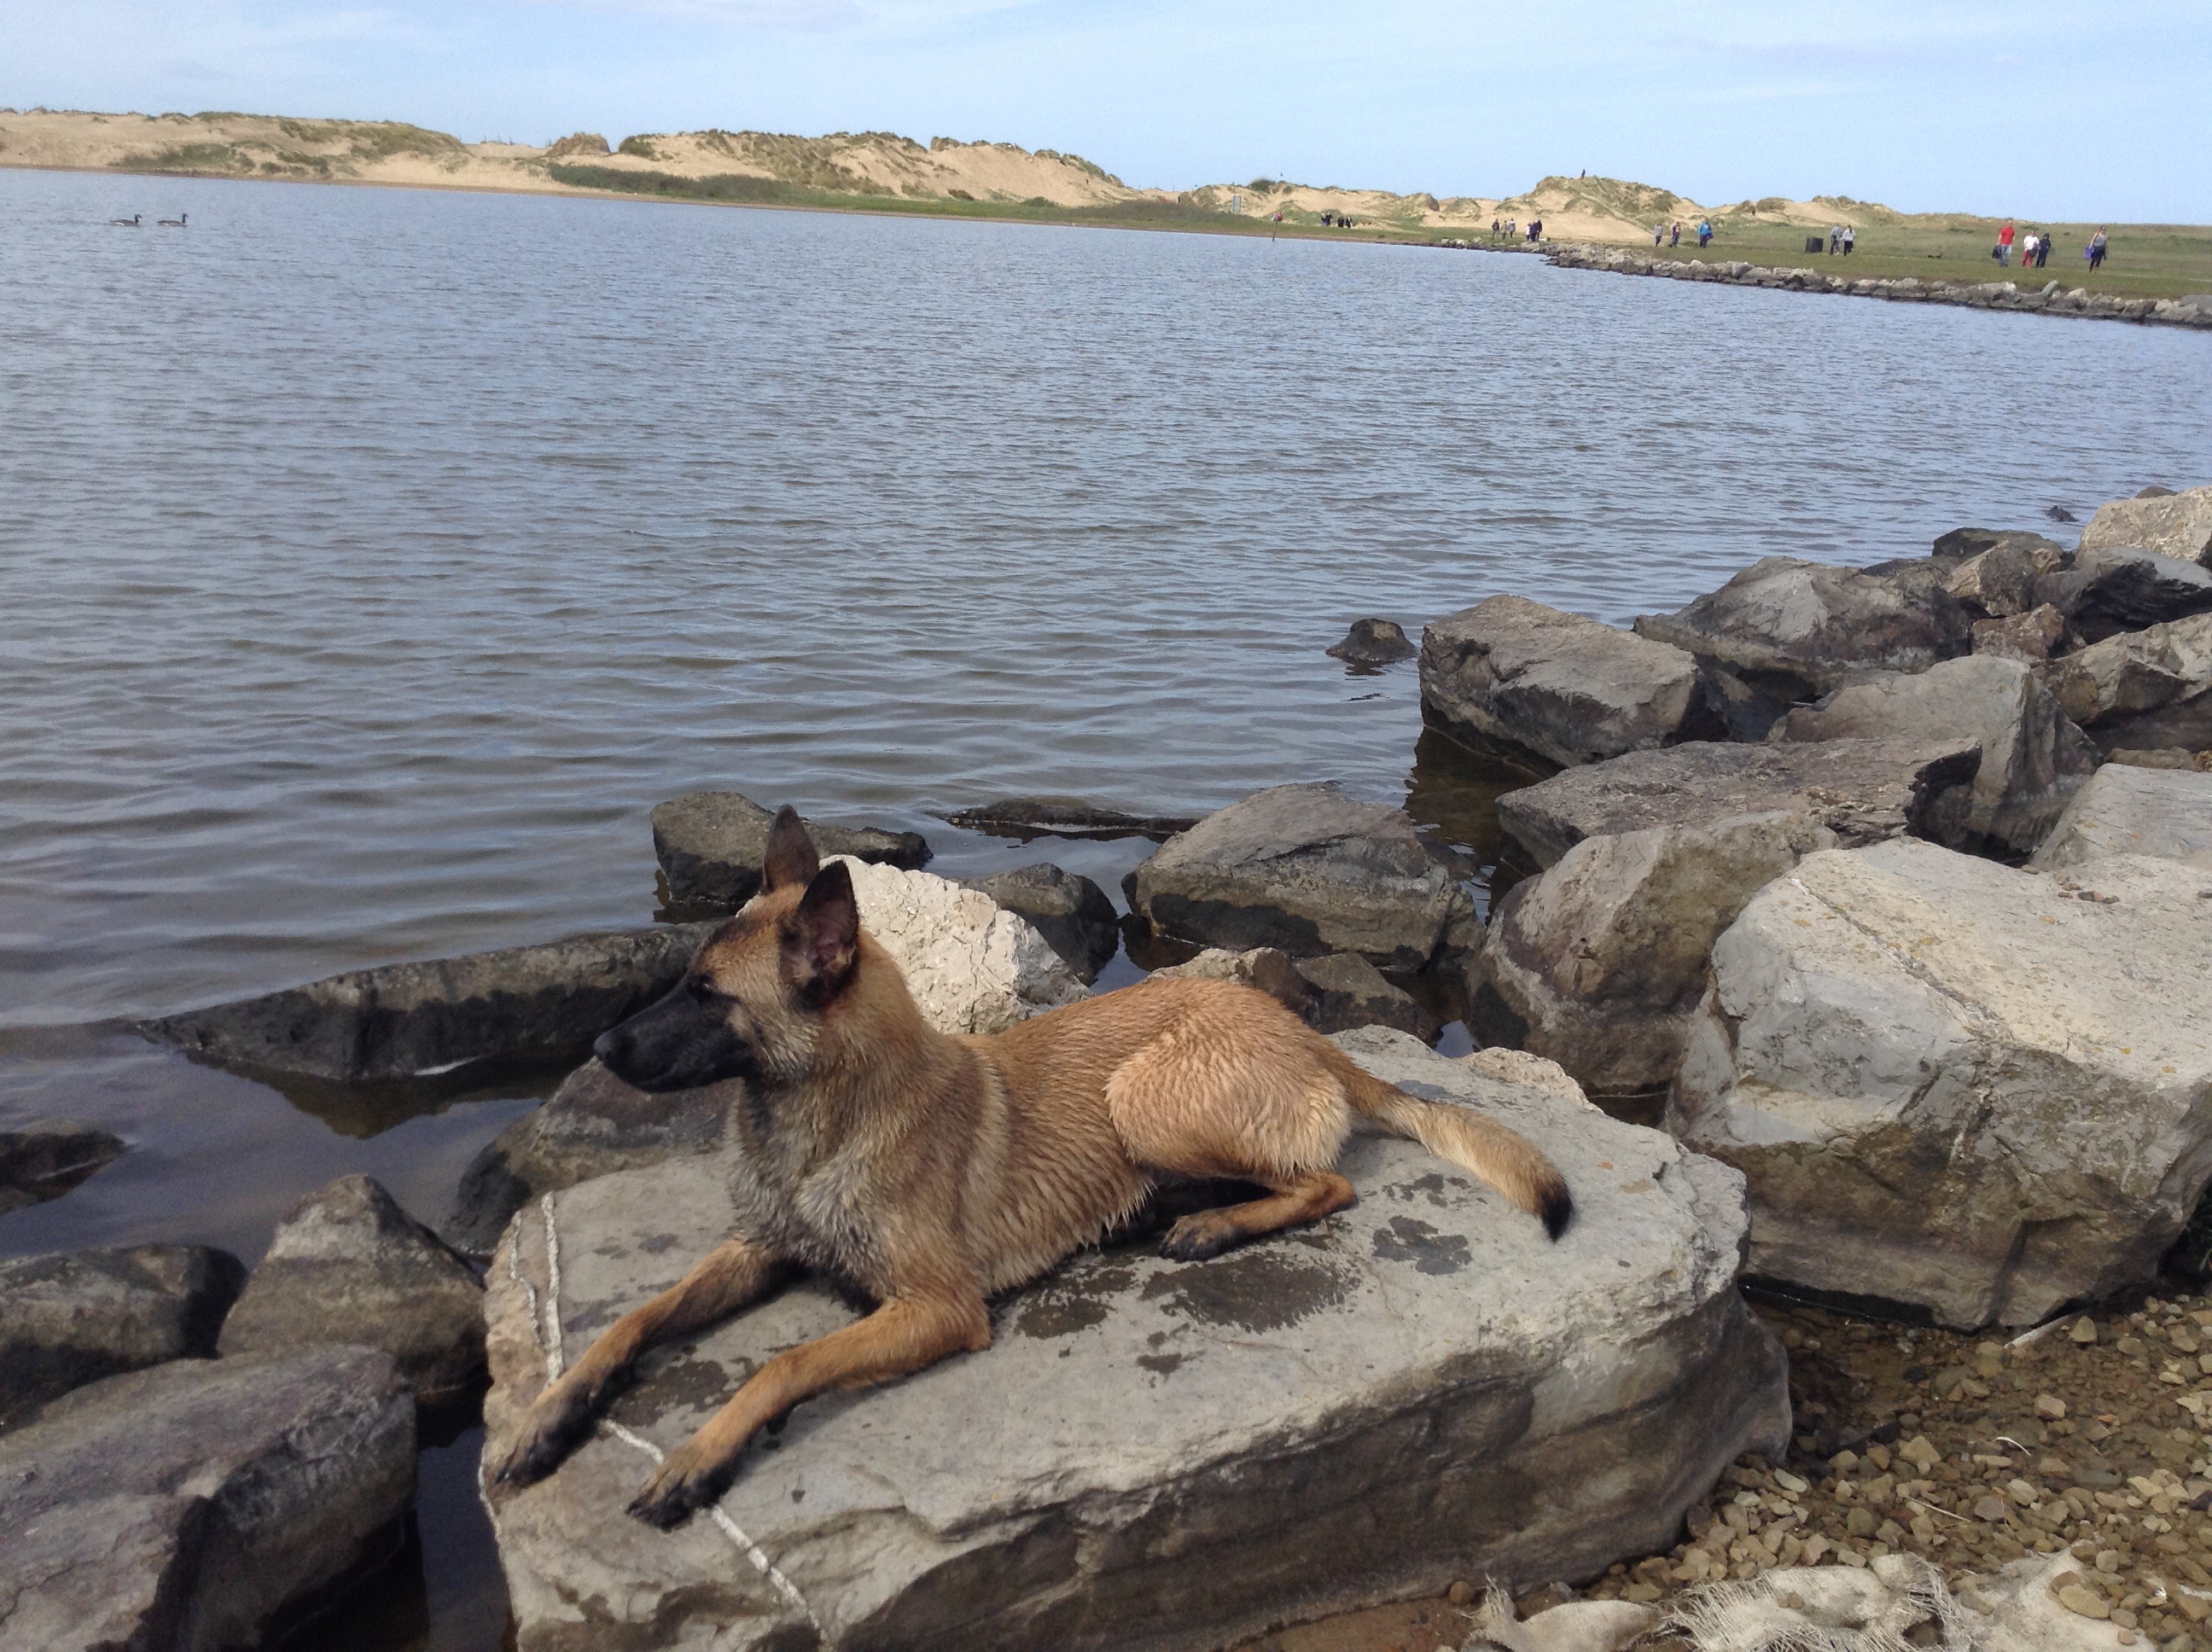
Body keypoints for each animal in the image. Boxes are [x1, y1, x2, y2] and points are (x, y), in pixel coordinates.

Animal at [493, 806, 1571, 1528]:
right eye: (684, 979)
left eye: (707, 994)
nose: (599, 1050)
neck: (822, 1122)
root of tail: (1311, 1035)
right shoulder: (758, 1246)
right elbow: (631, 1318)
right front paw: (548, 1415)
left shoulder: (936, 1307)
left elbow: (785, 1362)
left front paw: (699, 1454)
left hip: (1143, 1095)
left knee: (1328, 1182)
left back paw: (1210, 1222)